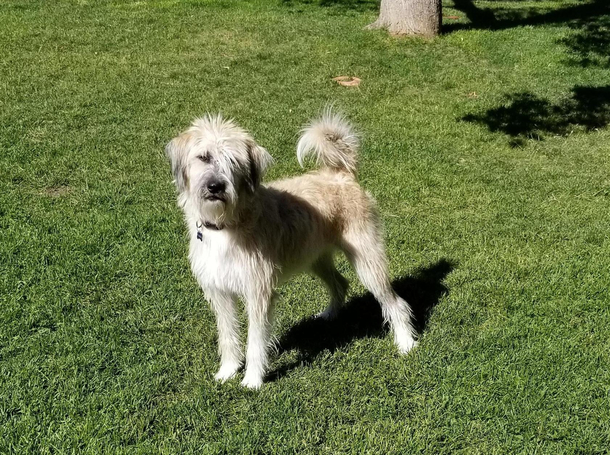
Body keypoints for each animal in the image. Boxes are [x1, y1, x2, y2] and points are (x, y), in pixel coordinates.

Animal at [164, 112, 416, 390]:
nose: (215, 186)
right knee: (340, 283)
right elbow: (228, 335)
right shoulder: (219, 292)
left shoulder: (258, 292)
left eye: (234, 162)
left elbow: (255, 341)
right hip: (316, 258)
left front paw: (252, 380)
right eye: (204, 157)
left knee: (394, 302)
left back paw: (406, 342)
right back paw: (329, 315)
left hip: (367, 261)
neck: (226, 225)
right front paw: (227, 371)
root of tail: (342, 173)